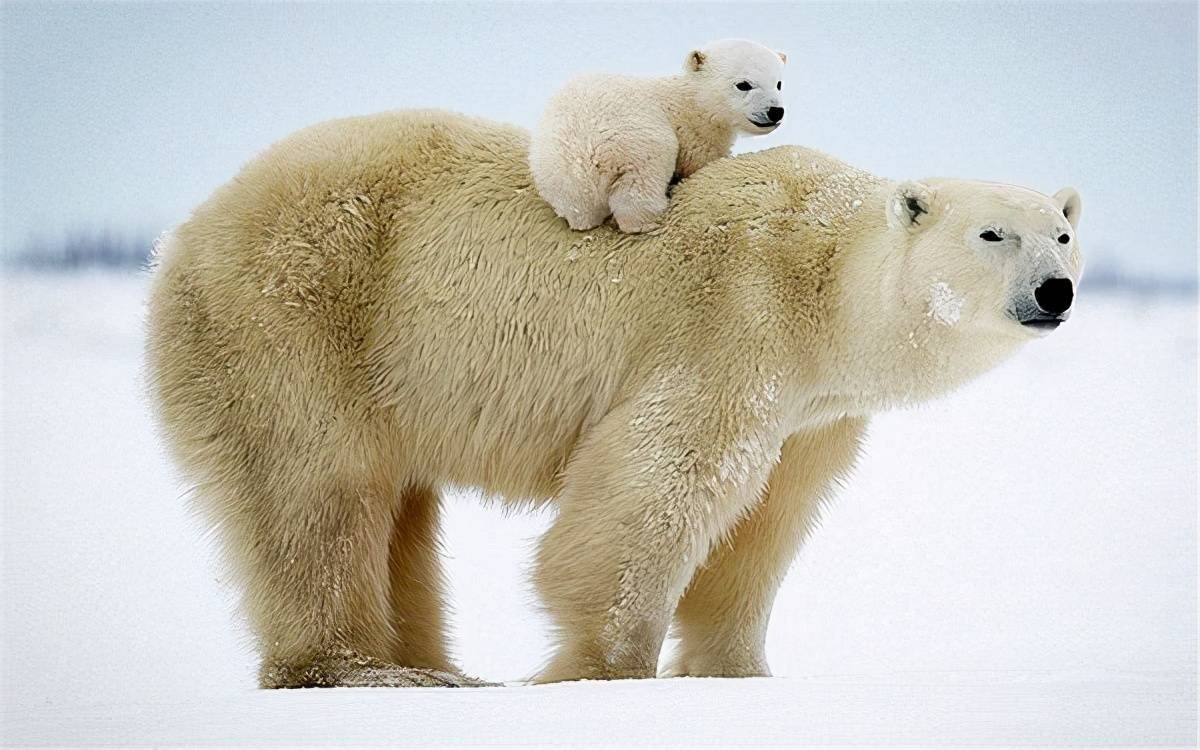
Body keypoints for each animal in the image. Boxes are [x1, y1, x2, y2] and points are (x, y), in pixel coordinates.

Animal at [146, 110, 1082, 688]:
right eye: (993, 233)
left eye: (1063, 232)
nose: (1056, 290)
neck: (819, 277)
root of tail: (189, 230)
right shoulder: (733, 322)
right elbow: (659, 484)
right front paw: (605, 669)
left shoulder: (816, 411)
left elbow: (770, 520)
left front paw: (737, 672)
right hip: (299, 314)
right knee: (319, 488)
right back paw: (367, 669)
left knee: (398, 511)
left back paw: (437, 664)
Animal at [529, 38, 787, 233]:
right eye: (743, 84)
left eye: (778, 83)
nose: (775, 111)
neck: (691, 101)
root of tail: (583, 161)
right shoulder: (694, 134)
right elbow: (700, 163)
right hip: (636, 146)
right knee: (640, 186)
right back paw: (650, 220)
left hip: (555, 174)